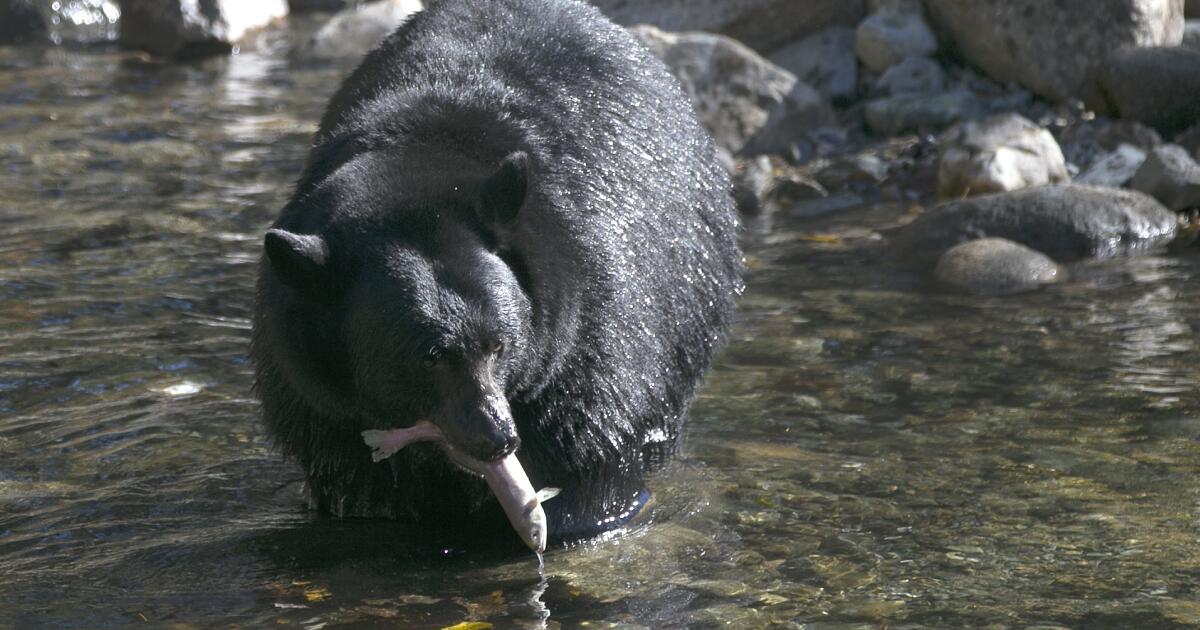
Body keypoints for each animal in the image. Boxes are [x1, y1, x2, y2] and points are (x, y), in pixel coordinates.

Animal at [251, 0, 742, 546]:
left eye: (500, 344)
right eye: (430, 355)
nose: (498, 438)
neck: (415, 160)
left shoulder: (591, 327)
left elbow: (593, 437)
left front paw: (574, 512)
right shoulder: (311, 388)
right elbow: (352, 473)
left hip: (695, 288)